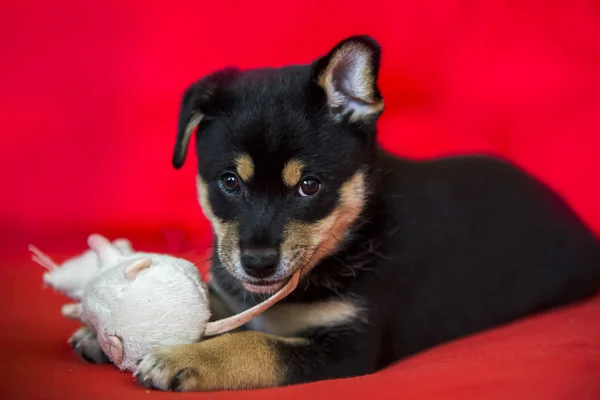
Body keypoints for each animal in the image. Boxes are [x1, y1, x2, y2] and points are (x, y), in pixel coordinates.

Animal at [74, 36, 600, 392]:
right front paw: (101, 335)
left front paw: (187, 358)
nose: (257, 264)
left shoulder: (349, 349)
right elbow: (220, 308)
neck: (353, 233)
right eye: (229, 182)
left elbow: (258, 345)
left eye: (309, 186)